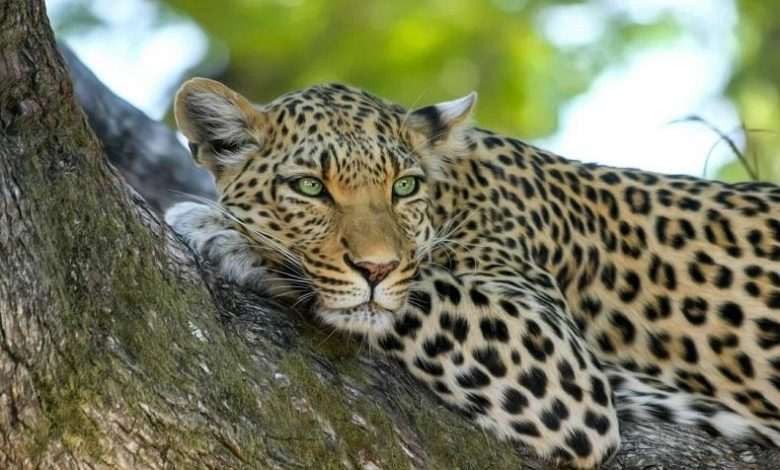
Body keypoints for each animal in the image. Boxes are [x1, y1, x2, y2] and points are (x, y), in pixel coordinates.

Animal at [165, 77, 780, 468]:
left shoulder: (558, 361)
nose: (375, 267)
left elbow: (420, 290)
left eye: (403, 186)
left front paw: (225, 231)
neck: (454, 192)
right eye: (310, 187)